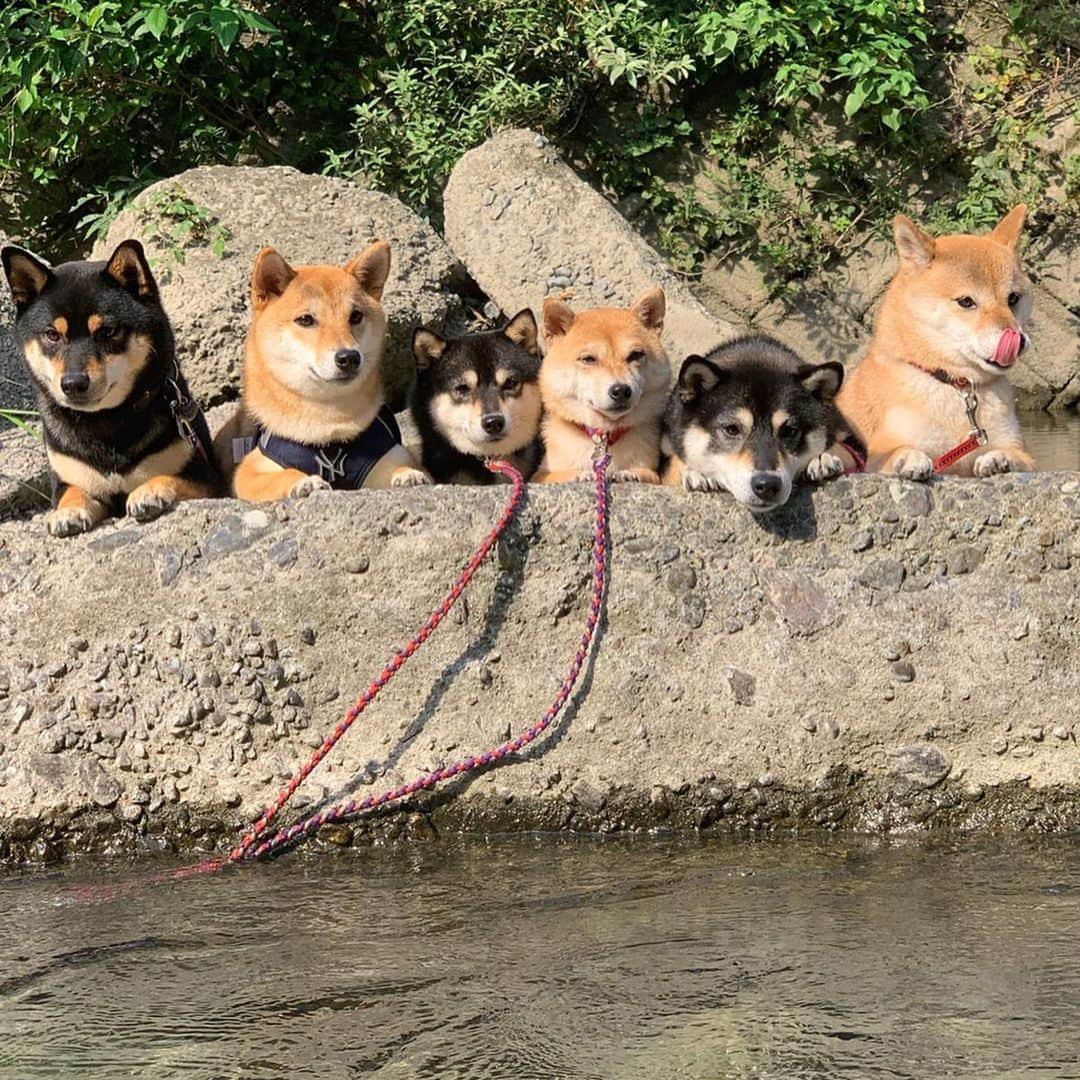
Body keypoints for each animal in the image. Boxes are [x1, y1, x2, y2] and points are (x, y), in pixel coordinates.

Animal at [0, 240, 221, 535]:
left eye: (107, 331)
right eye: (52, 334)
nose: (73, 383)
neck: (105, 421)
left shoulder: (205, 478)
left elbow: (170, 477)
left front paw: (149, 491)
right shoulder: (68, 480)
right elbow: (72, 493)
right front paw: (68, 511)